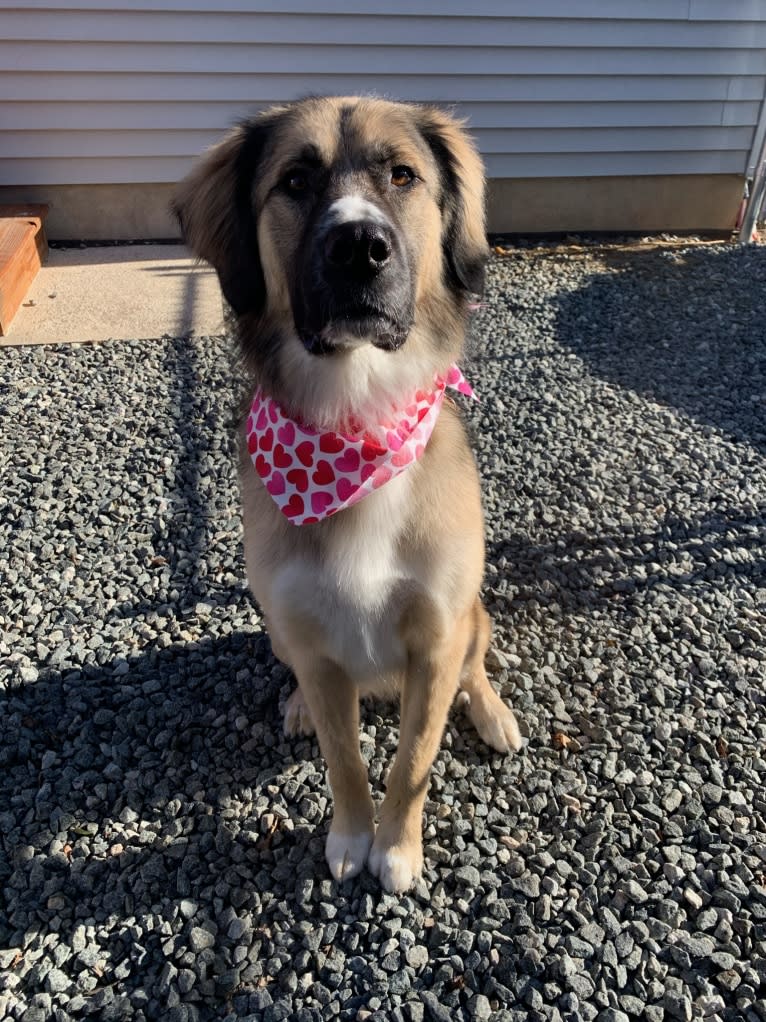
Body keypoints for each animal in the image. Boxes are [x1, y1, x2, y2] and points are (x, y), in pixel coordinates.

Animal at [173, 97, 522, 895]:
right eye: (295, 181)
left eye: (403, 175)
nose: (359, 247)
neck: (356, 416)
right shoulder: (311, 638)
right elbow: (344, 760)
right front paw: (352, 837)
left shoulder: (437, 635)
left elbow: (413, 758)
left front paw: (396, 848)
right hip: (278, 628)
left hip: (476, 614)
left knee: (477, 666)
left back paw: (492, 713)